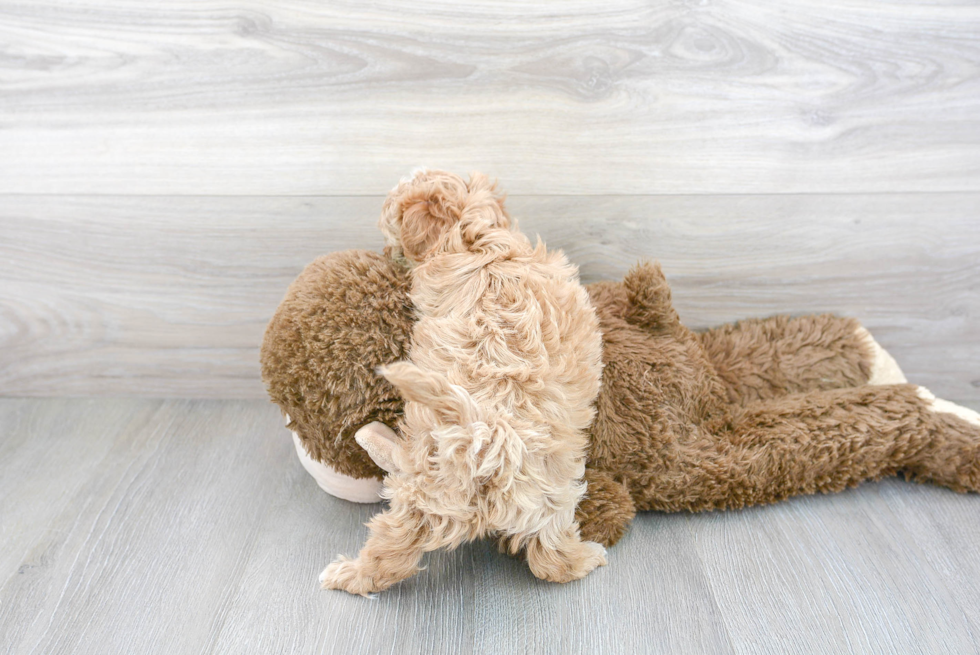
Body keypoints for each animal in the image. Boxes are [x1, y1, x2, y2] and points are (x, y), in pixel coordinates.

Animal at [322, 172, 604, 596]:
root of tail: (485, 437)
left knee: (390, 555)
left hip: (423, 497)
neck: (476, 234)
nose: (386, 251)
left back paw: (346, 573)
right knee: (551, 558)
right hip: (548, 494)